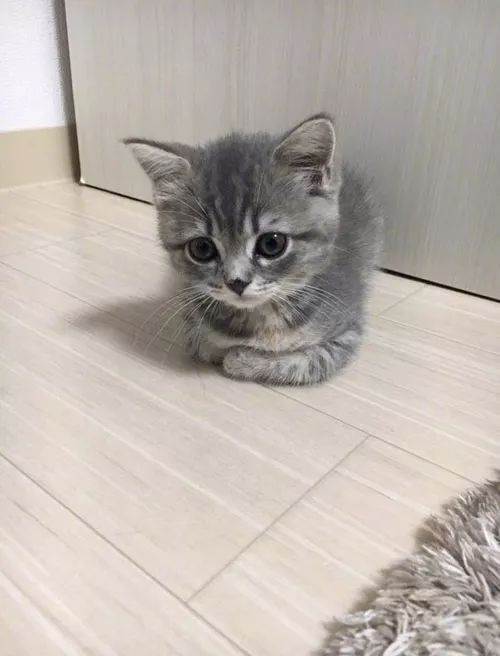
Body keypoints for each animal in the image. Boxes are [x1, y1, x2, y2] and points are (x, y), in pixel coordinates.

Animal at [126, 113, 382, 385]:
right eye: (202, 248)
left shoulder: (345, 335)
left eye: (272, 244)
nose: (236, 283)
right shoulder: (191, 313)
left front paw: (240, 358)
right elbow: (203, 341)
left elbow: (297, 363)